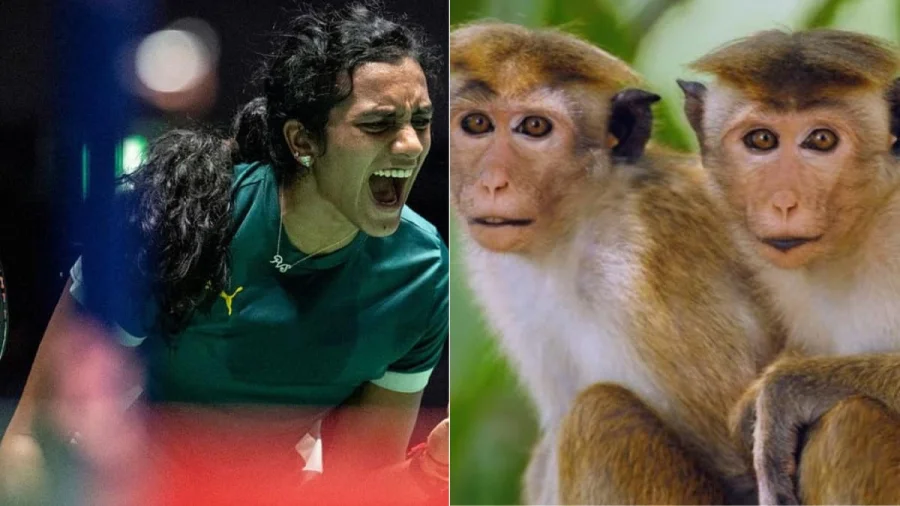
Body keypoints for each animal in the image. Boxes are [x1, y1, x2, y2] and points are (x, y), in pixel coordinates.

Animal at [450, 22, 784, 505]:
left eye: (534, 127)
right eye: (476, 124)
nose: (493, 182)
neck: (576, 230)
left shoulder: (645, 267)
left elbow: (745, 474)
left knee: (598, 416)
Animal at [678, 28, 900, 505]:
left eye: (821, 140)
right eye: (761, 140)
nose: (783, 201)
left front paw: (783, 392)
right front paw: (751, 408)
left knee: (849, 422)